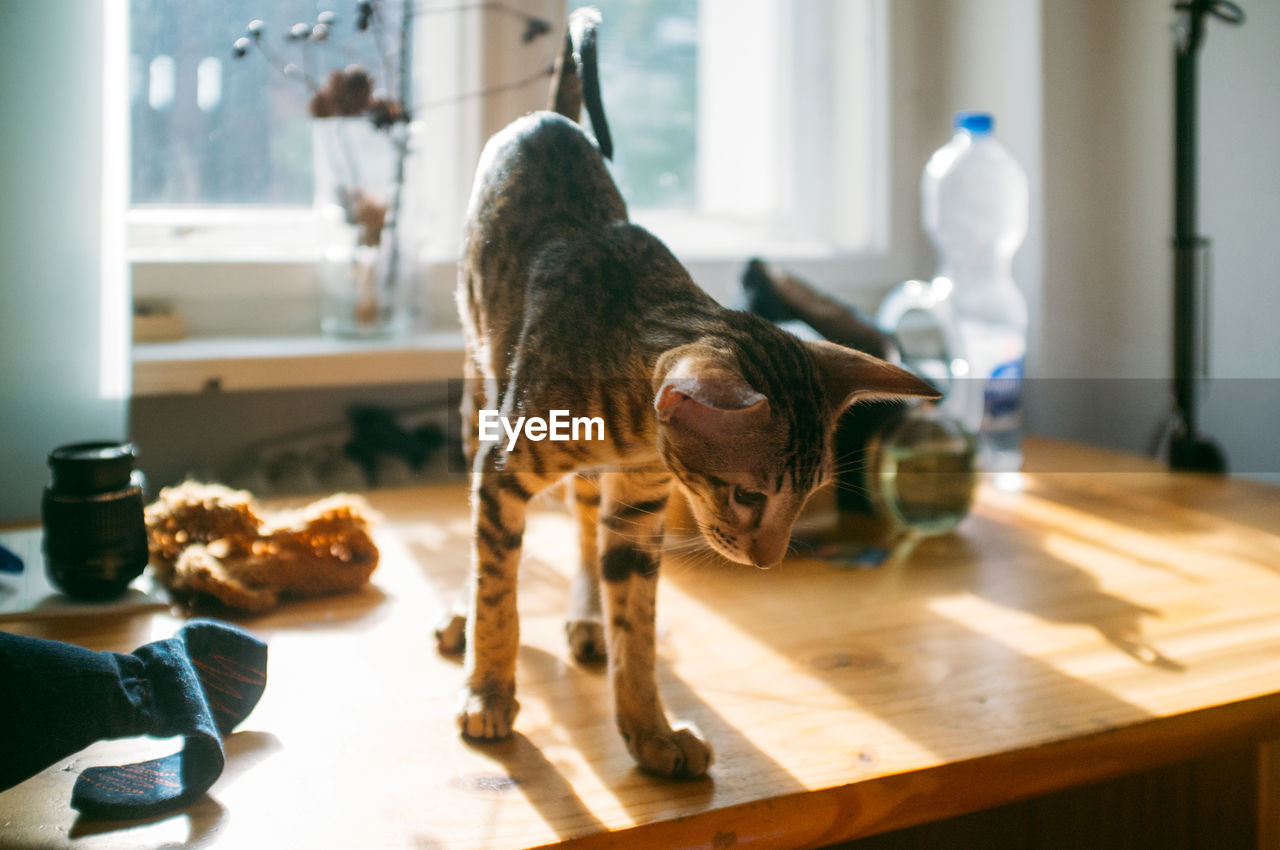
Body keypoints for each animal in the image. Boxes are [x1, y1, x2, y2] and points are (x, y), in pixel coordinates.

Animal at [435, 8, 936, 778]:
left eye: (807, 496)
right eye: (748, 495)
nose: (769, 562)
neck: (630, 430)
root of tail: (553, 118)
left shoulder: (640, 510)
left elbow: (637, 626)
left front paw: (649, 730)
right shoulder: (503, 468)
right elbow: (498, 586)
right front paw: (489, 689)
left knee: (584, 522)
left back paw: (587, 617)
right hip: (477, 388)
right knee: (484, 534)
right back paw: (467, 616)